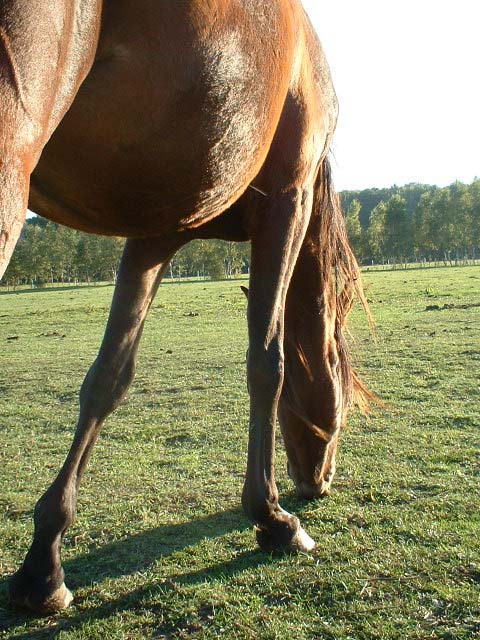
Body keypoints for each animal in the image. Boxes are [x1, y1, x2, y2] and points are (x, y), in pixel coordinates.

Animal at [0, 0, 370, 612]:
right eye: (341, 390)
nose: (320, 481)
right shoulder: (287, 202)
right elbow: (267, 363)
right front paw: (273, 519)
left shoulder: (156, 234)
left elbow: (109, 378)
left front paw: (44, 566)